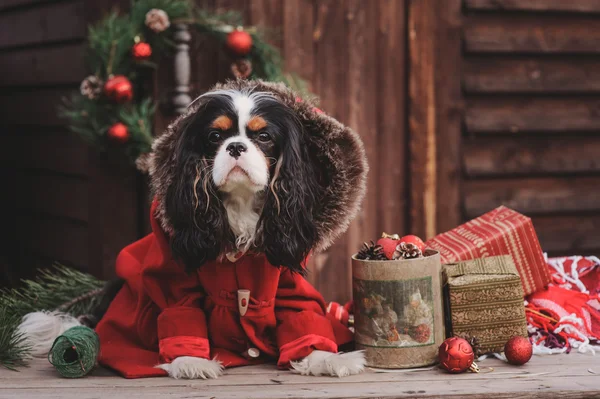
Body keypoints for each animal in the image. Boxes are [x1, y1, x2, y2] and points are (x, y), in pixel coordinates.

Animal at [21, 79, 368, 382]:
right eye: (215, 136)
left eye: (264, 136)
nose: (236, 147)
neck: (240, 203)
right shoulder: (173, 277)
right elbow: (180, 309)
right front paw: (190, 360)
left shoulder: (286, 280)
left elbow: (301, 313)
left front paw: (323, 358)